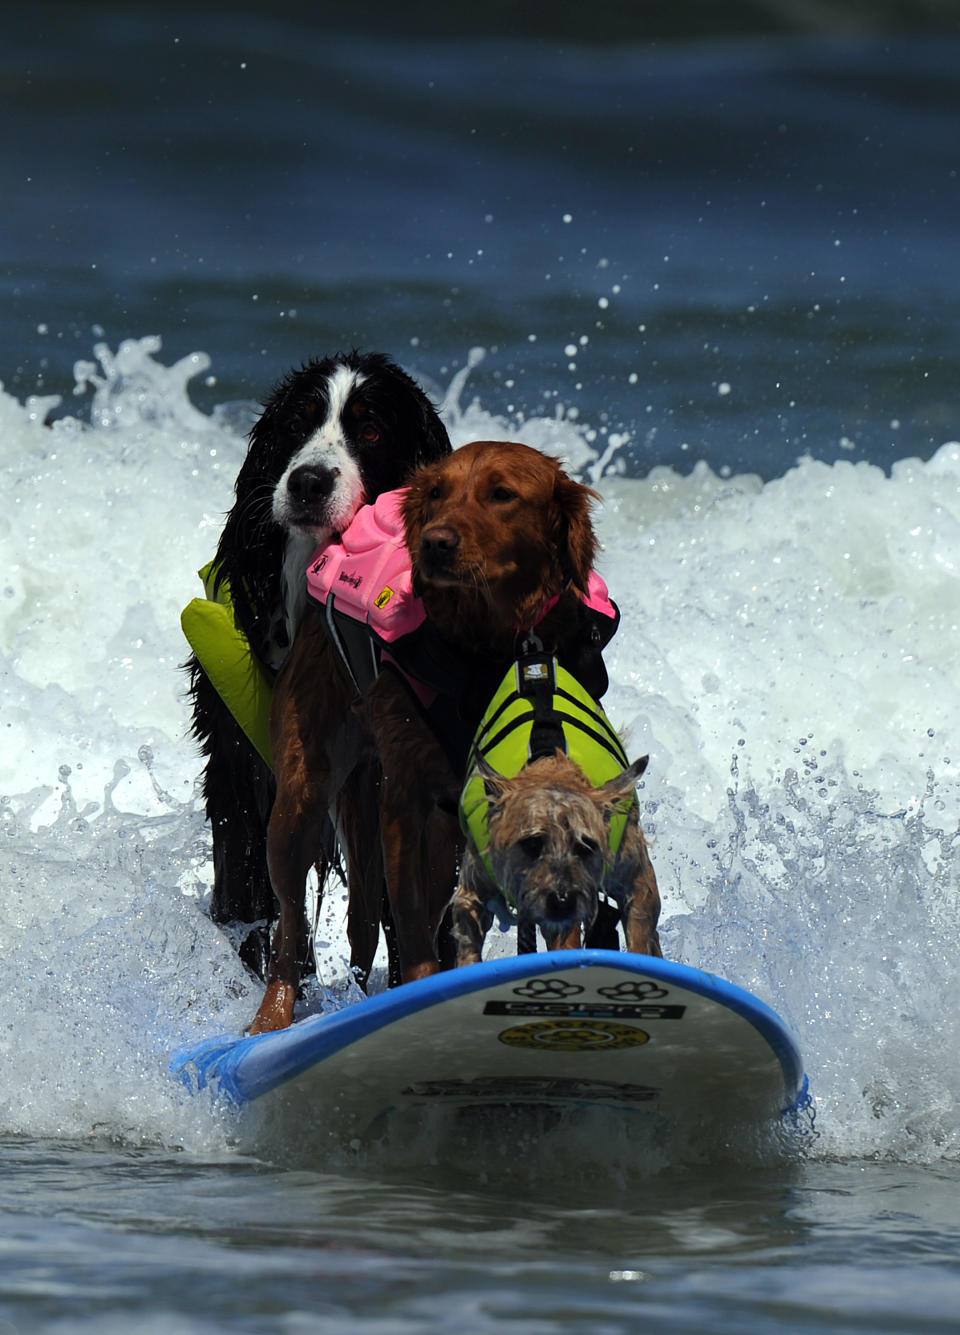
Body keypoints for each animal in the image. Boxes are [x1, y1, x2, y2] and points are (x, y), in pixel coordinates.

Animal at [451, 752, 662, 961]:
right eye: (532, 843)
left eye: (586, 846)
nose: (563, 901)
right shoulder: (473, 885)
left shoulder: (635, 878)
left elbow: (639, 935)